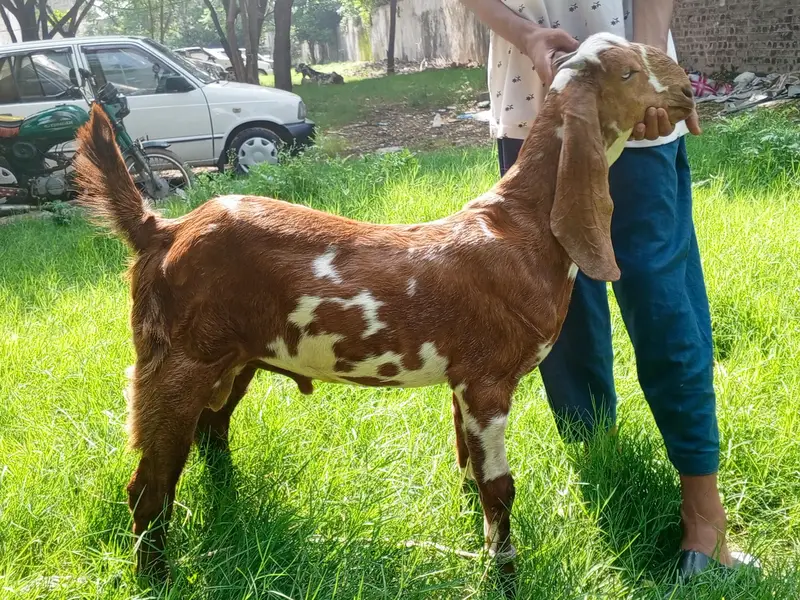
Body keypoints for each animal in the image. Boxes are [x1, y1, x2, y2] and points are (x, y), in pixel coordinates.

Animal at [73, 32, 695, 577]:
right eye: (628, 72)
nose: (685, 86)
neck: (519, 226)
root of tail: (163, 229)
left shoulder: (461, 382)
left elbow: (467, 464)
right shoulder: (488, 379)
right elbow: (500, 487)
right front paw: (504, 572)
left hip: (235, 359)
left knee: (210, 432)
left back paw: (230, 510)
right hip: (175, 361)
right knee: (149, 486)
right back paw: (157, 576)